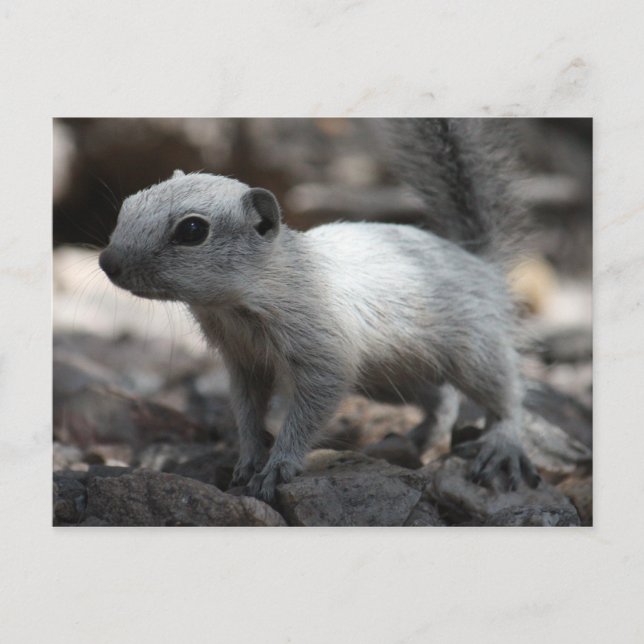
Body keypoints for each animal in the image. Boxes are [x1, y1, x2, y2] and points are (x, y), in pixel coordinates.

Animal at [99, 118, 541, 502]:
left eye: (192, 230)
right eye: (129, 204)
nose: (108, 262)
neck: (240, 303)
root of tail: (481, 264)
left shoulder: (324, 356)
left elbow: (310, 409)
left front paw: (278, 466)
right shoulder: (244, 362)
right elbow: (246, 410)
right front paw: (249, 456)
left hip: (474, 353)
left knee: (506, 395)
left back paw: (502, 446)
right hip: (389, 379)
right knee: (443, 396)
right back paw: (424, 435)